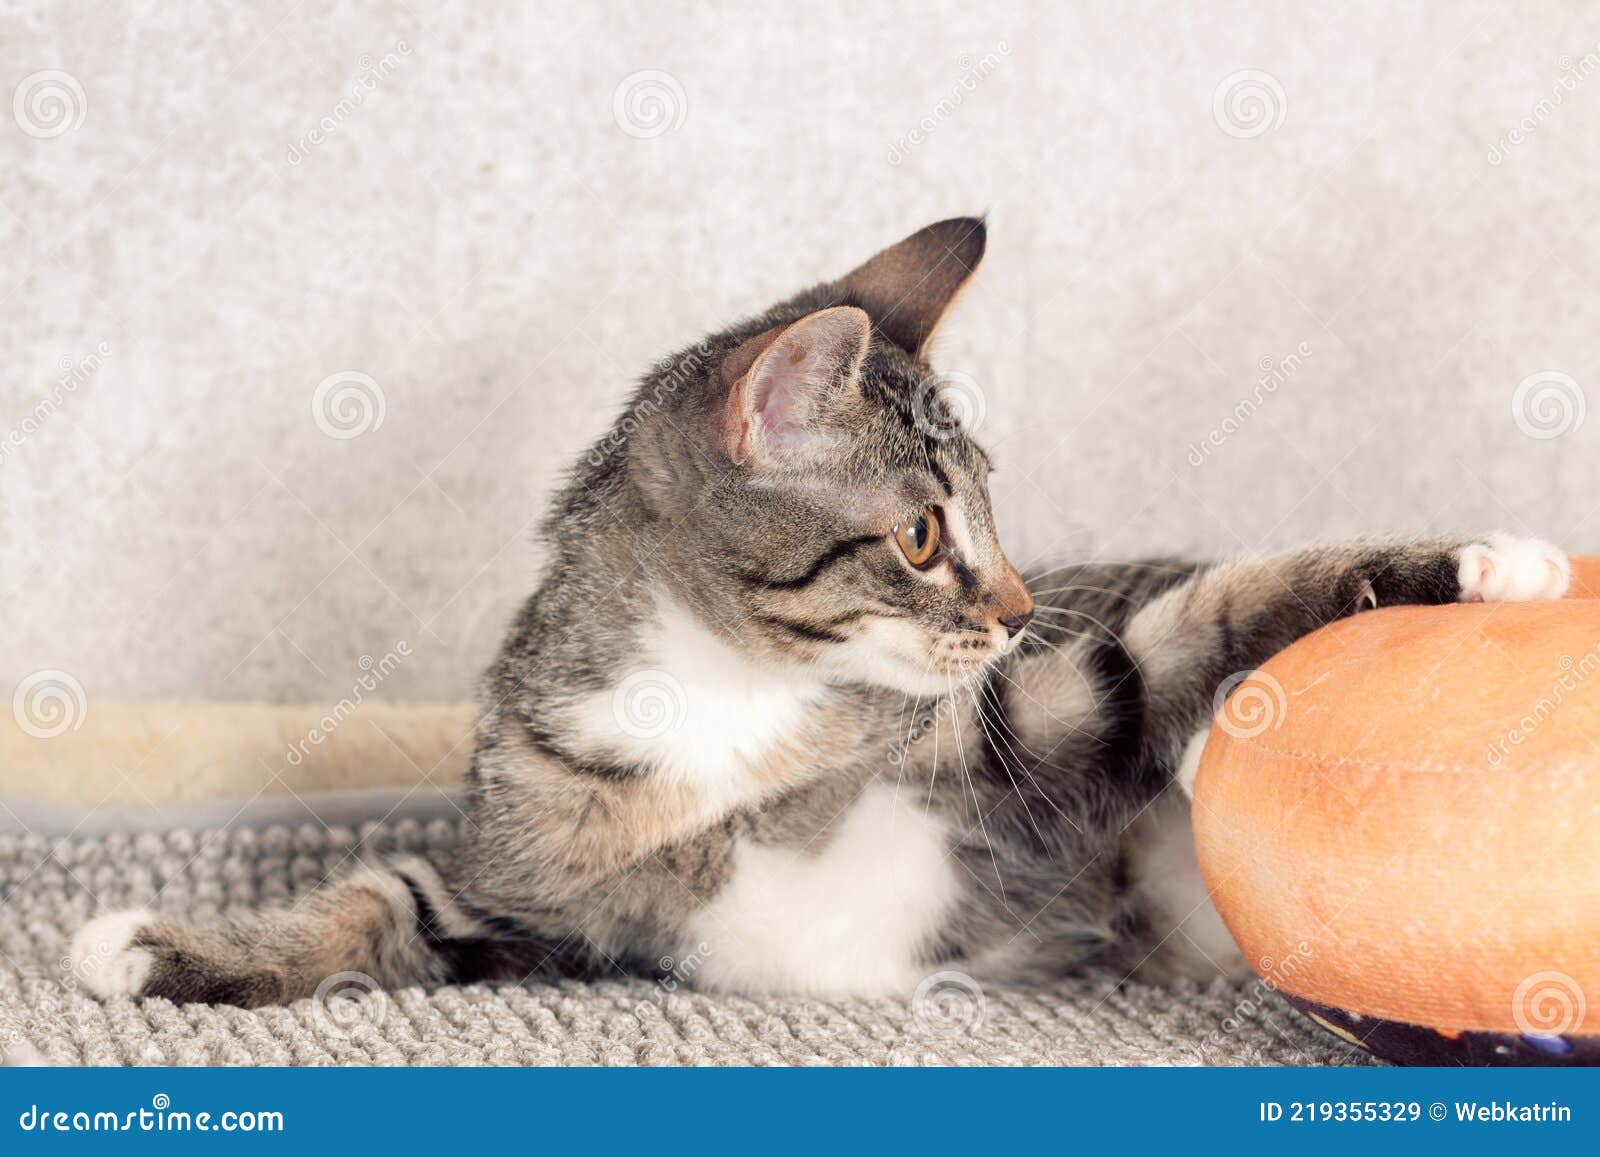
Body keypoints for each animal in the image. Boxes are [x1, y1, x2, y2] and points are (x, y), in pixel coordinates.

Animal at [72, 217, 1561, 1004]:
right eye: (921, 533)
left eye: (994, 510)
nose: (1019, 604)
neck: (721, 708)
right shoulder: (536, 892)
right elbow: (379, 901)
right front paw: (160, 947)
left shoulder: (1019, 722)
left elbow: (1188, 627)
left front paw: (1487, 564)